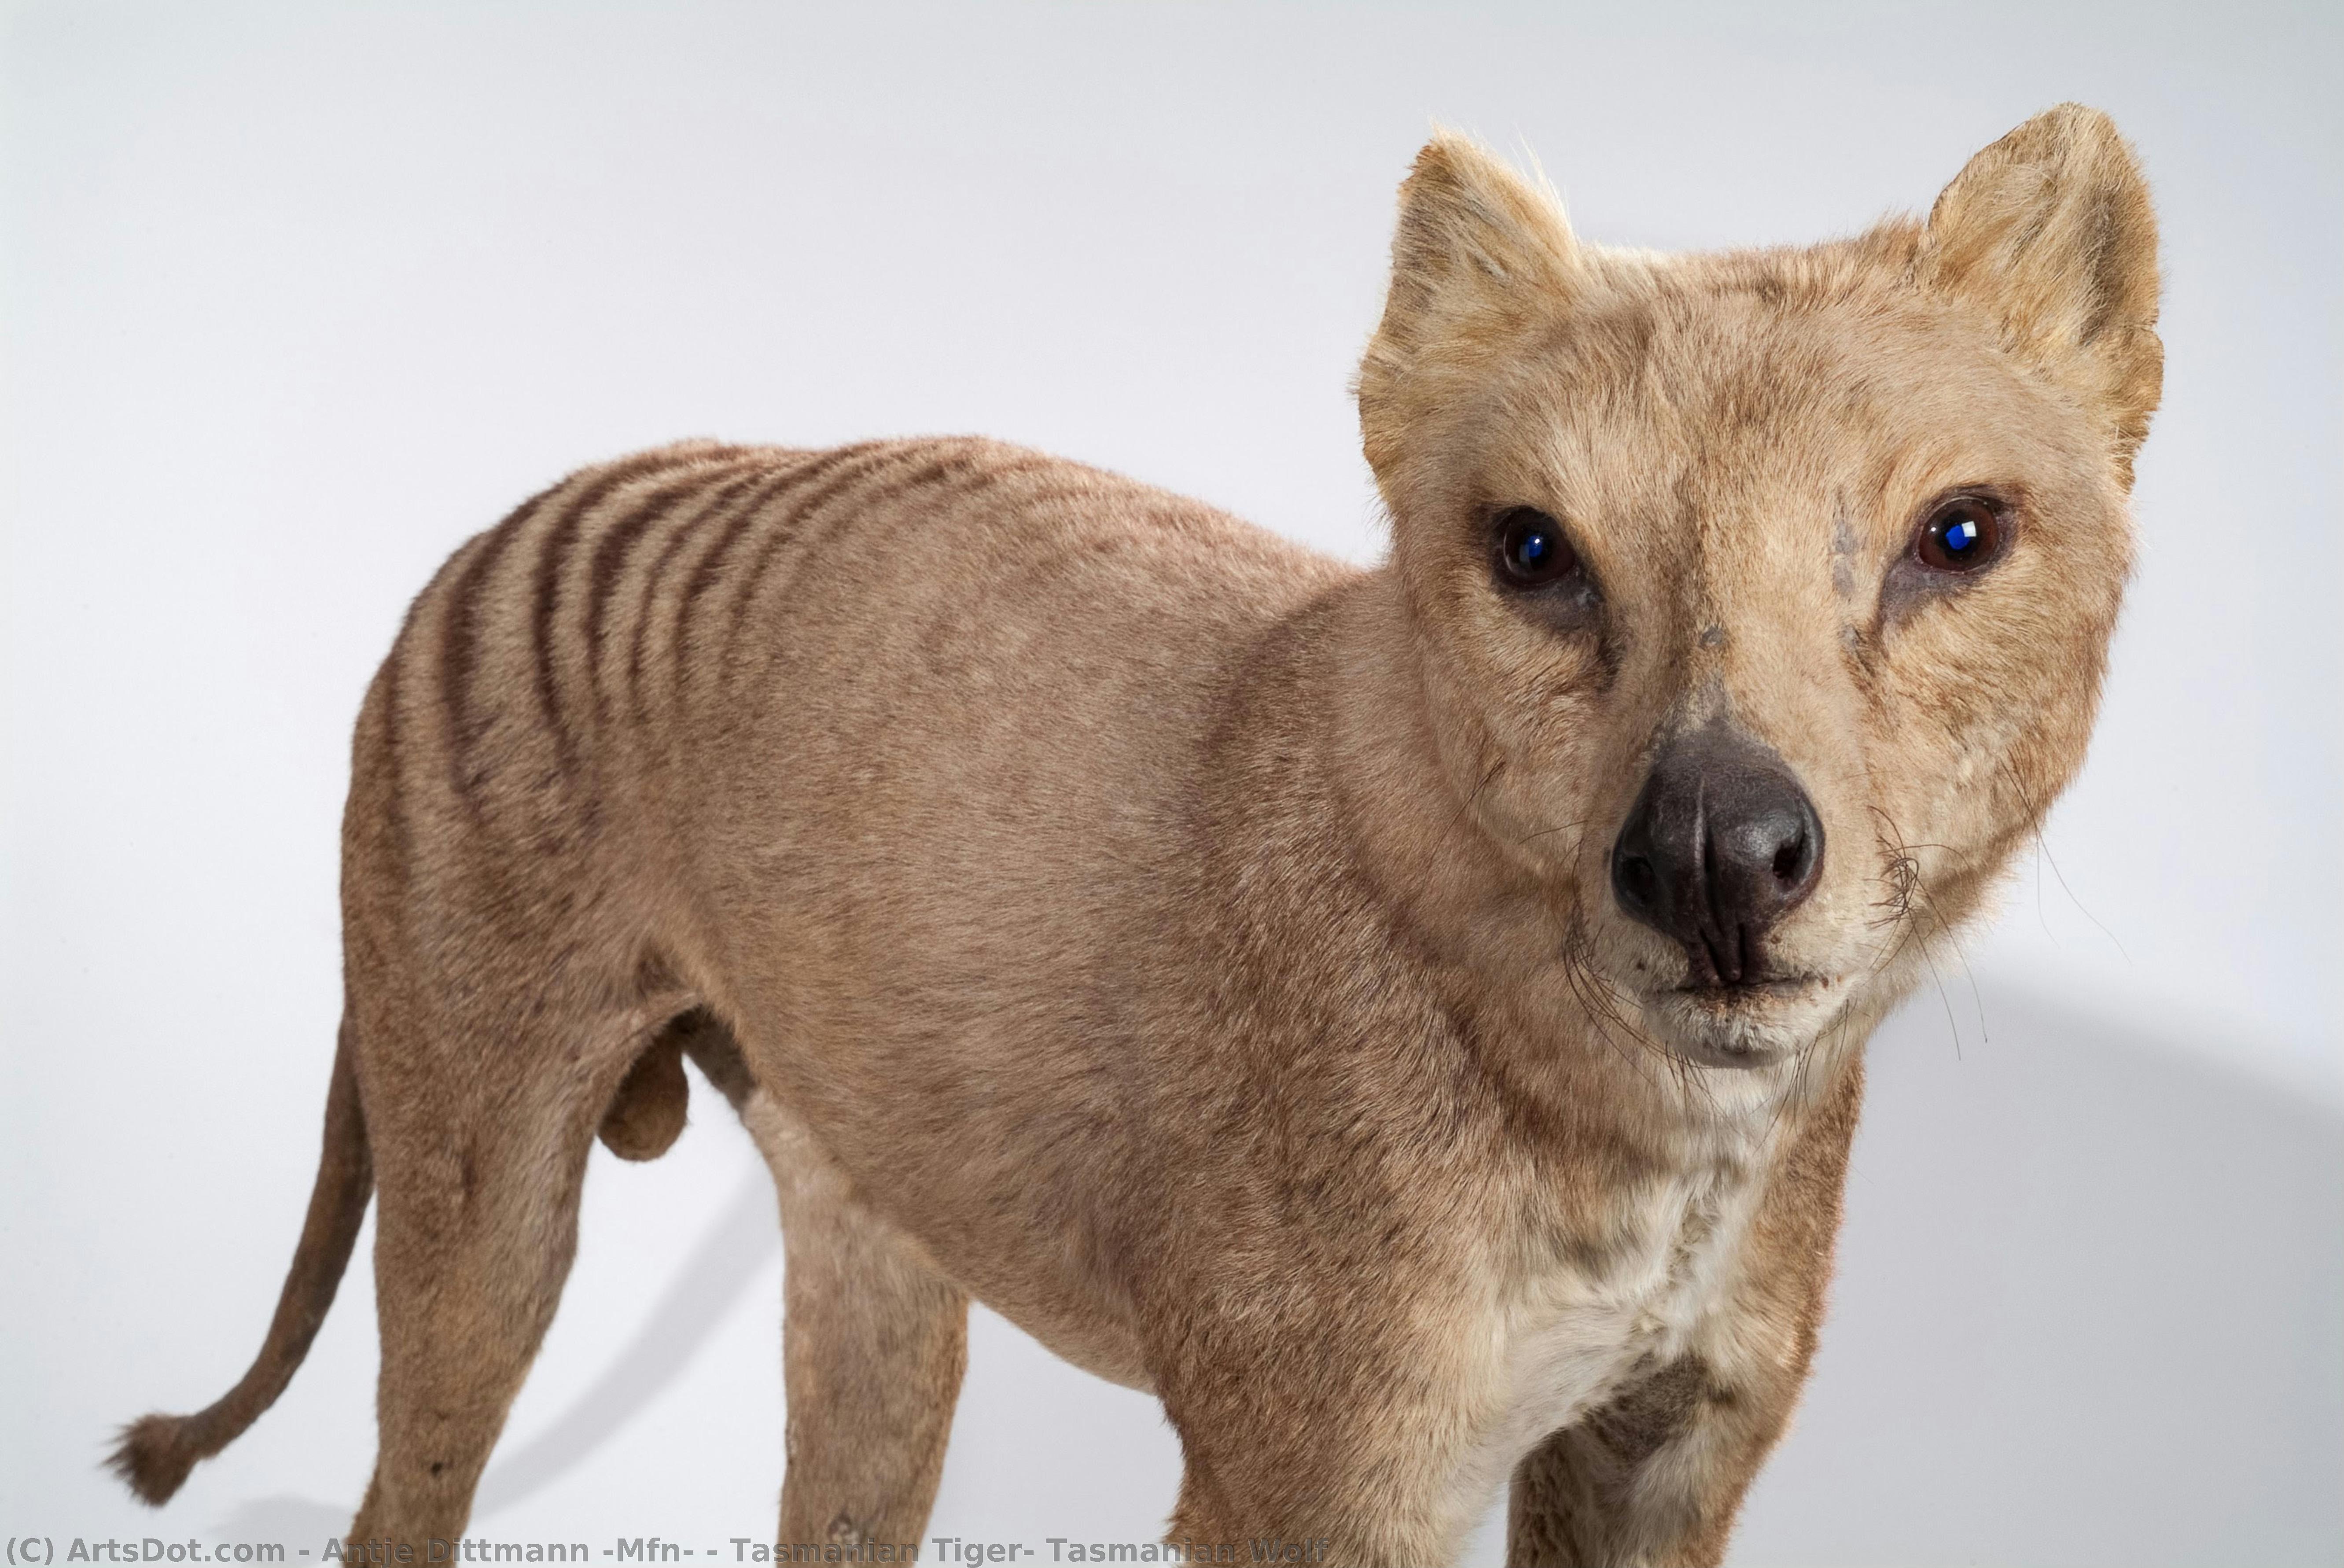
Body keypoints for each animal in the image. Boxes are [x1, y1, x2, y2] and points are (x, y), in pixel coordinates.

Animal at [110, 105, 2159, 1566]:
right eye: (1530, 550)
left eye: (1957, 535)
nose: (1716, 853)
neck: (1648, 1146)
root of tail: (516, 514)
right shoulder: (1316, 1484)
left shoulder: (1659, 1458)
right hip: (482, 1221)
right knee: (400, 1501)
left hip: (876, 1273)